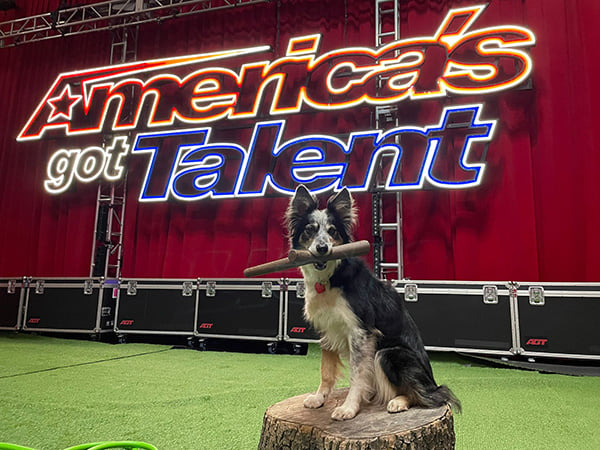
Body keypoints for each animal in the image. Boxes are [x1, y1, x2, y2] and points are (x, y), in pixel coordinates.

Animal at [284, 185, 460, 420]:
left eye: (332, 231)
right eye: (310, 230)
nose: (322, 248)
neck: (331, 277)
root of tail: (433, 383)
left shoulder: (361, 332)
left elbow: (357, 375)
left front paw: (349, 408)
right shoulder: (327, 328)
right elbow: (326, 370)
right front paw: (319, 398)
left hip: (388, 353)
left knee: (426, 395)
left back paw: (399, 401)